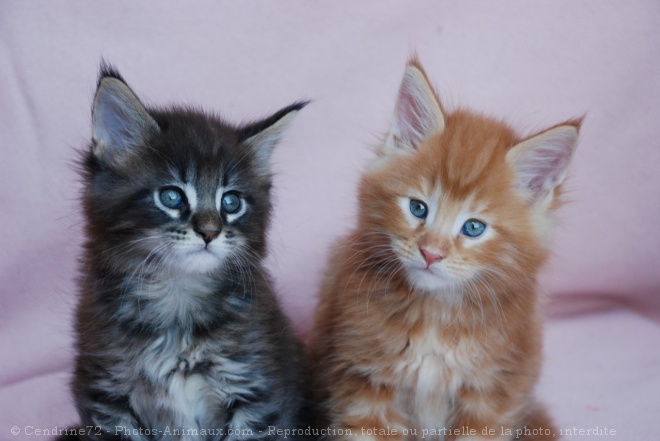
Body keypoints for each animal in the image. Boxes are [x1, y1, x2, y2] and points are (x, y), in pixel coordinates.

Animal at [58, 65, 310, 440]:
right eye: (172, 197)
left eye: (231, 202)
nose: (209, 231)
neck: (177, 295)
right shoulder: (106, 396)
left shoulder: (256, 392)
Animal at [306, 58, 580, 440]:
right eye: (418, 208)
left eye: (474, 228)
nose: (431, 253)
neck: (435, 317)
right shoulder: (364, 379)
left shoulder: (492, 395)